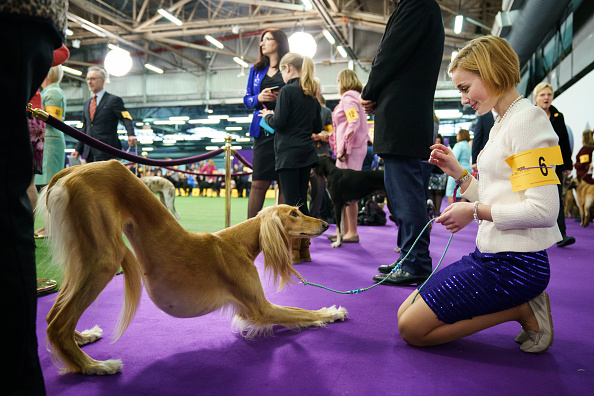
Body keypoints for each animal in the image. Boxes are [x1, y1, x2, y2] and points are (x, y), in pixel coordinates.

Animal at [37, 160, 346, 374]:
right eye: (294, 213)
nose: (326, 223)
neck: (239, 243)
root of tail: (70, 171)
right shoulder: (260, 308)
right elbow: (301, 313)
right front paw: (331, 312)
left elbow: (297, 312)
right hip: (105, 259)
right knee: (58, 324)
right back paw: (93, 366)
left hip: (84, 258)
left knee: (52, 315)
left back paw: (82, 338)